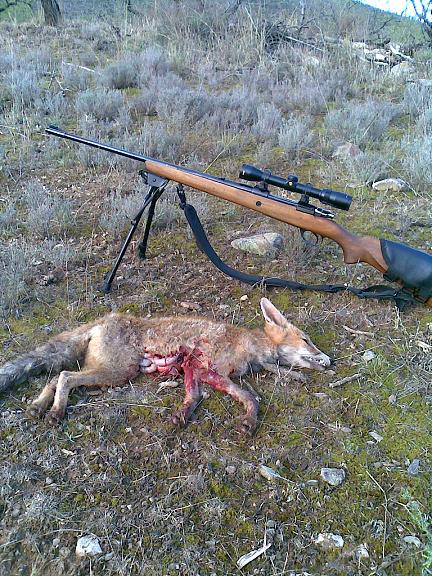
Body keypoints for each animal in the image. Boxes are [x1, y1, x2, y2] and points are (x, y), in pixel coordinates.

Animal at [0, 298, 330, 434]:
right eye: (307, 340)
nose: (329, 360)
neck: (250, 346)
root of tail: (107, 318)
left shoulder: (196, 370)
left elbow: (251, 389)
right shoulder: (204, 368)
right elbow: (246, 396)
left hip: (108, 370)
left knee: (55, 376)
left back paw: (38, 406)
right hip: (118, 372)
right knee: (66, 375)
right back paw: (56, 411)